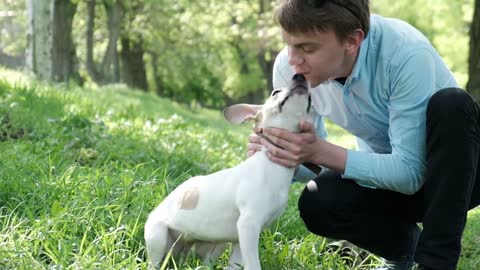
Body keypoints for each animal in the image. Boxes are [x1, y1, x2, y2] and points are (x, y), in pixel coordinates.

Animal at [144, 74, 314, 270]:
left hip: (216, 245)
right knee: (155, 261)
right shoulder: (248, 225)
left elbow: (236, 265)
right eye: (275, 92)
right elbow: (253, 265)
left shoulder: (240, 239)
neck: (269, 165)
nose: (300, 76)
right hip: (158, 237)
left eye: (311, 99)